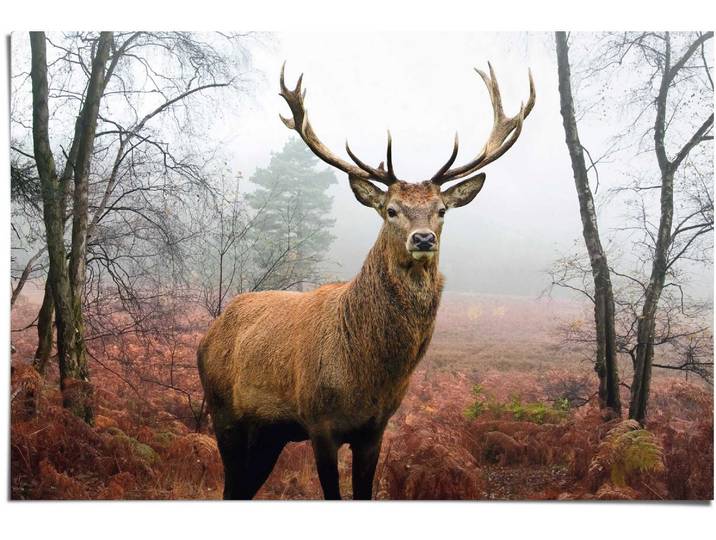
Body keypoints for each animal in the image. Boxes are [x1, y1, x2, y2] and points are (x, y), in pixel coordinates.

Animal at [197, 62, 535, 500]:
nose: (422, 238)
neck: (365, 374)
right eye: (391, 209)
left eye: (441, 210)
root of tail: (209, 333)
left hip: (270, 433)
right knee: (230, 483)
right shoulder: (319, 422)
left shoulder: (375, 428)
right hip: (224, 412)